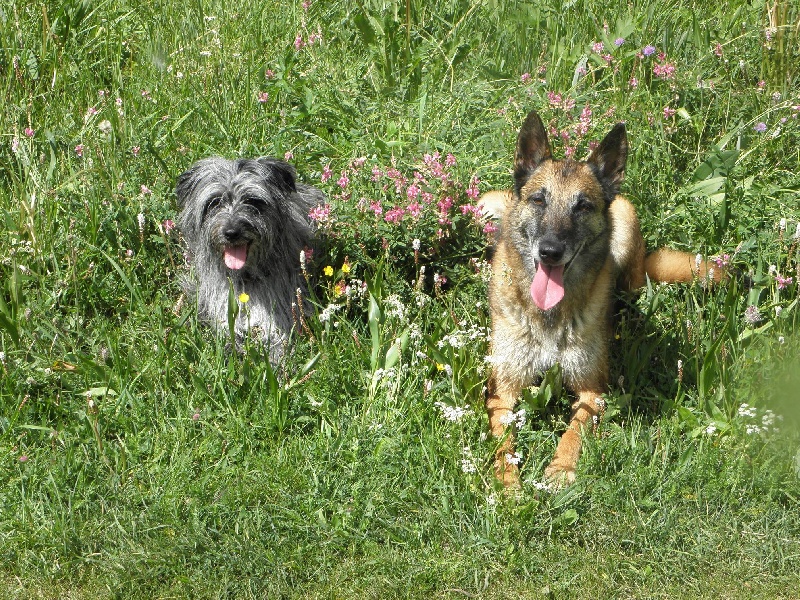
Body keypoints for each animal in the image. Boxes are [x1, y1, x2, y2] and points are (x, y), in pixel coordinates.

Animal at [483, 110, 722, 488]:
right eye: (538, 200)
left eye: (582, 206)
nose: (550, 251)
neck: (551, 316)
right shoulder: (503, 391)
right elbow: (503, 445)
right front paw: (508, 484)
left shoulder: (592, 390)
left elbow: (574, 430)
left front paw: (560, 469)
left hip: (625, 226)